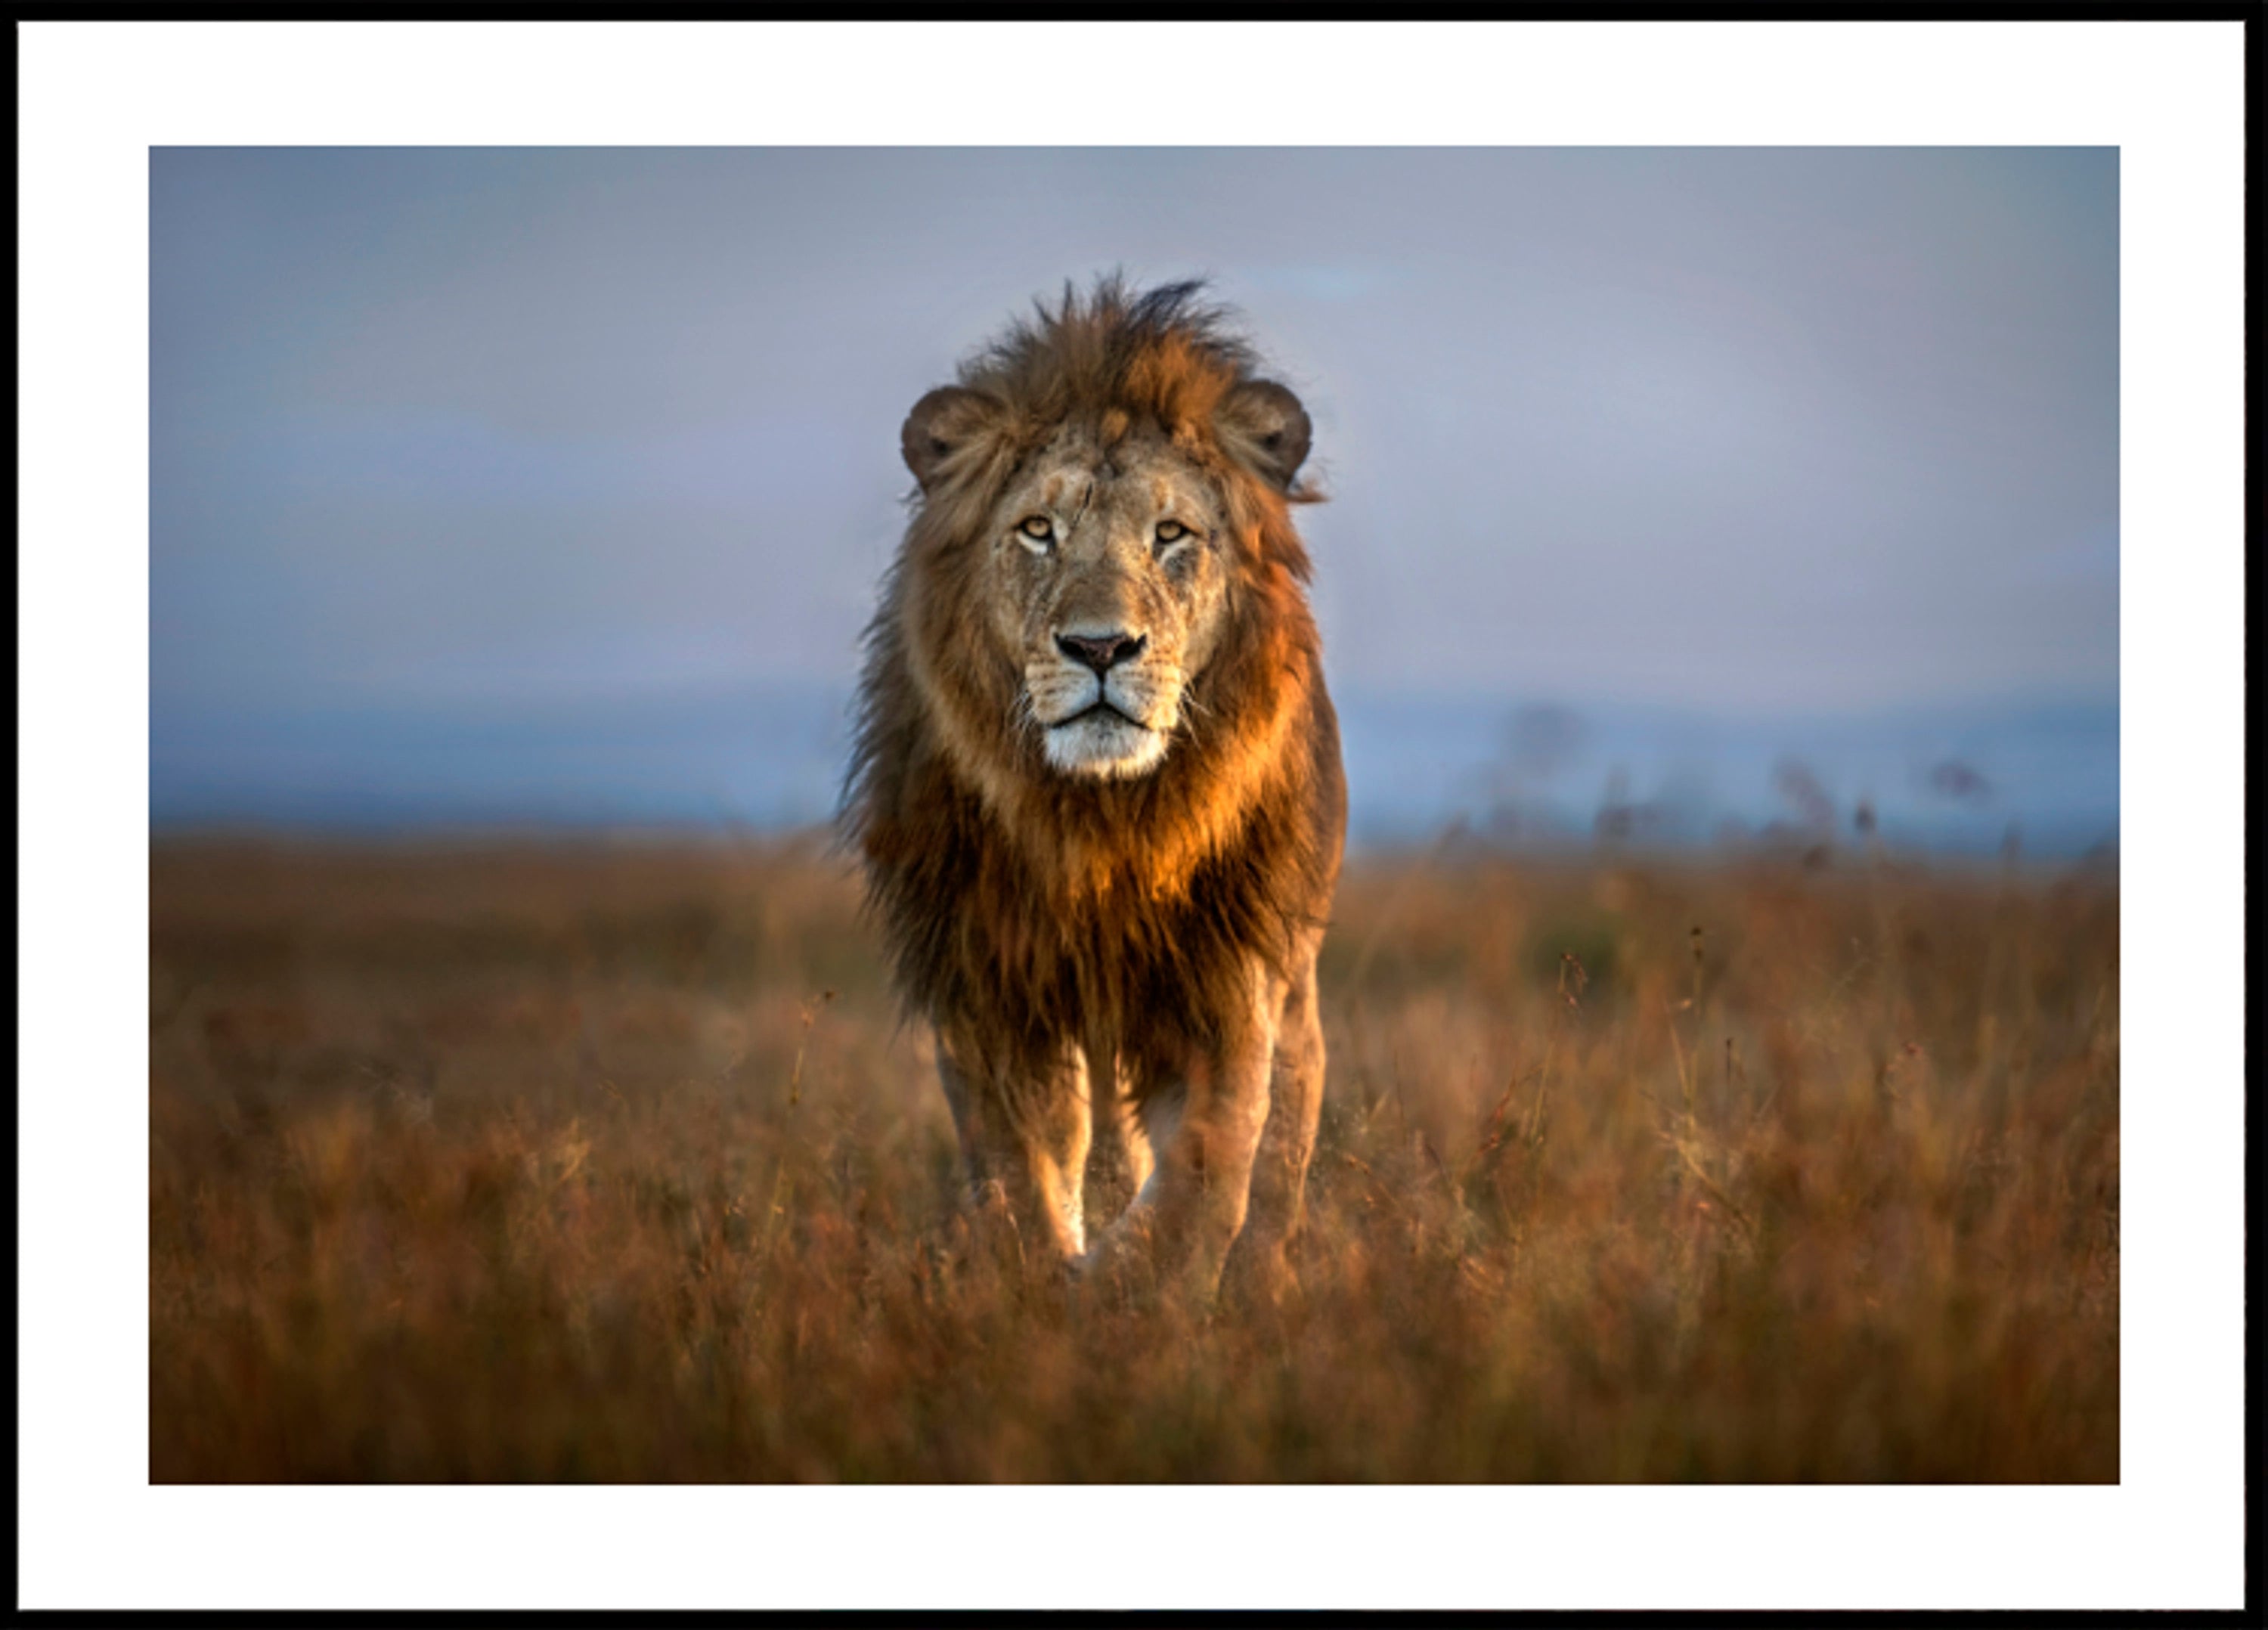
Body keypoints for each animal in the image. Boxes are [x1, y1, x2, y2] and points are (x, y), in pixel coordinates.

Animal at [841, 277, 1346, 1302]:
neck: (1103, 822)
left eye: (1172, 533)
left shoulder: (1228, 977)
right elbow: (1022, 1165)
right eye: (1039, 529)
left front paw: (1133, 1291)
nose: (1101, 646)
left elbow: (1209, 1164)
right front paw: (1041, 1283)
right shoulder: (989, 982)